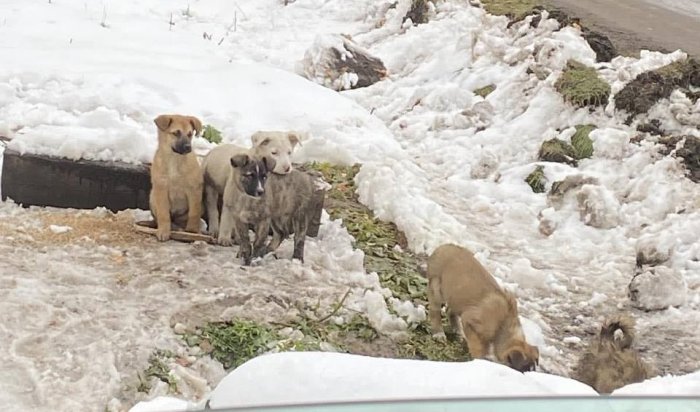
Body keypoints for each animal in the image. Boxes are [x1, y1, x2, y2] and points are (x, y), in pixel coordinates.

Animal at [148, 113, 202, 241]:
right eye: (176, 133)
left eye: (190, 134)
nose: (188, 147)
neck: (174, 159)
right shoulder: (161, 189)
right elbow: (163, 214)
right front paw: (163, 231)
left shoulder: (194, 190)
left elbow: (194, 213)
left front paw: (192, 231)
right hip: (152, 196)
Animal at [424, 243, 540, 372]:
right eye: (523, 370)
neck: (503, 324)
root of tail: (443, 246)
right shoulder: (470, 321)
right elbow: (477, 346)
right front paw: (481, 359)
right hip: (436, 288)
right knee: (435, 312)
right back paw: (439, 333)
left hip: (456, 297)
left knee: (450, 311)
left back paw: (458, 332)